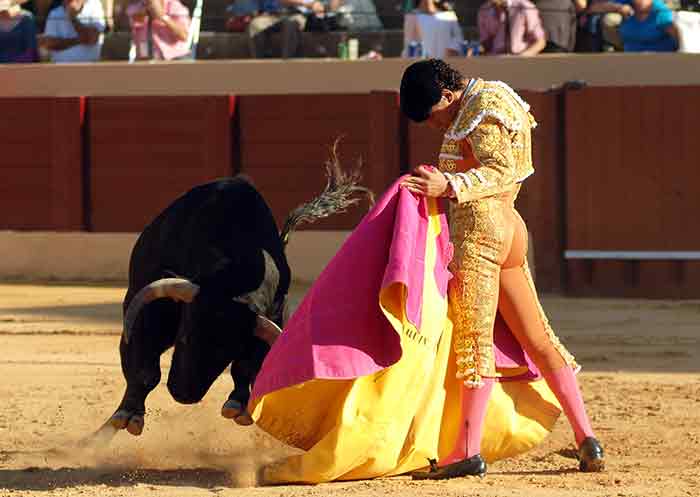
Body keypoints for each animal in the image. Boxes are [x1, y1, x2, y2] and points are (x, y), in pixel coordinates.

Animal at [94, 158, 372, 438]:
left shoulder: (267, 319)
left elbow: (246, 366)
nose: (183, 395)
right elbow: (143, 368)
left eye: (226, 356)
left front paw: (237, 405)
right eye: (185, 337)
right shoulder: (147, 315)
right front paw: (128, 414)